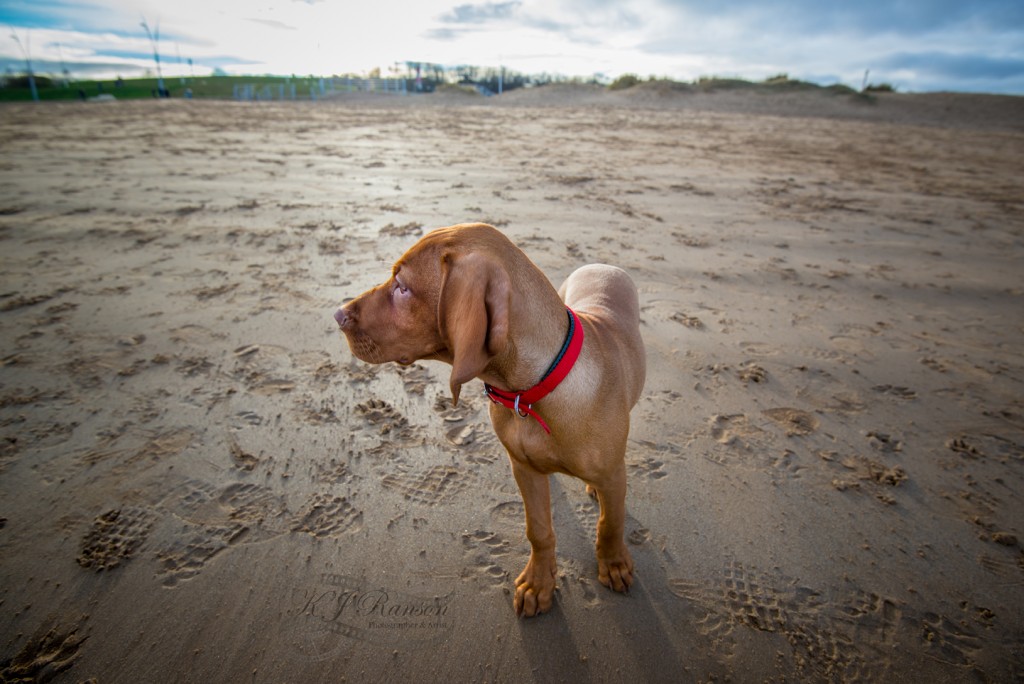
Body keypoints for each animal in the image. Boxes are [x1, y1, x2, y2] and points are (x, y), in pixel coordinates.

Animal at [335, 223, 643, 614]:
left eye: (402, 287)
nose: (338, 314)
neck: (530, 393)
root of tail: (602, 265)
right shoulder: (522, 467)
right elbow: (538, 529)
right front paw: (538, 582)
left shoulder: (613, 475)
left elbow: (610, 522)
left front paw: (614, 563)